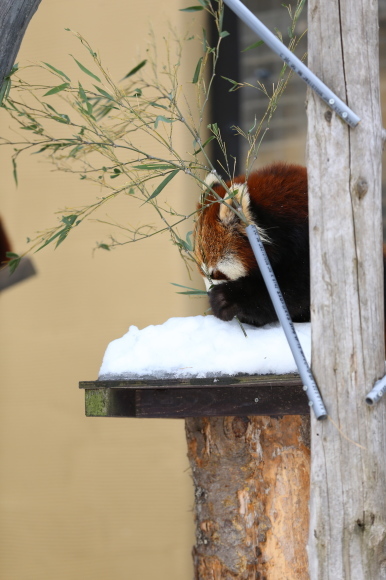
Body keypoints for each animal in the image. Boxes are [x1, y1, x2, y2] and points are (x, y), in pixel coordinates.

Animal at [193, 162, 314, 326]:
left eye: (216, 273)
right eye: (202, 271)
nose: (208, 293)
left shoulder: (302, 247)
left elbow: (293, 289)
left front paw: (226, 299)